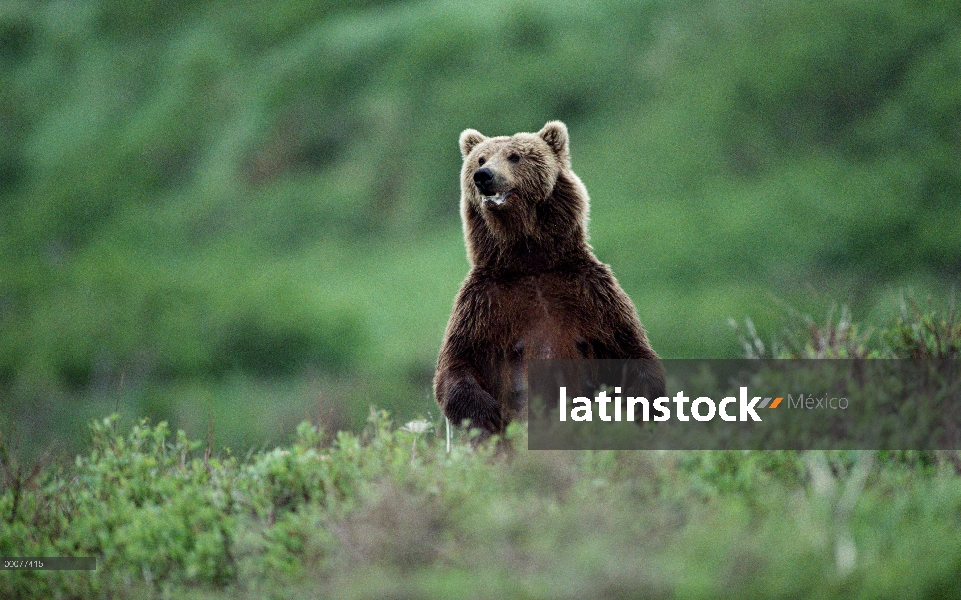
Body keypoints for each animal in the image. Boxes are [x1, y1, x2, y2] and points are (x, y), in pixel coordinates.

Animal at [434, 119, 664, 434]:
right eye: (480, 159)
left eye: (514, 156)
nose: (484, 176)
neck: (530, 261)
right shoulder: (483, 302)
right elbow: (457, 364)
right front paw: (488, 415)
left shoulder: (593, 293)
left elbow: (631, 349)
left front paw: (639, 409)